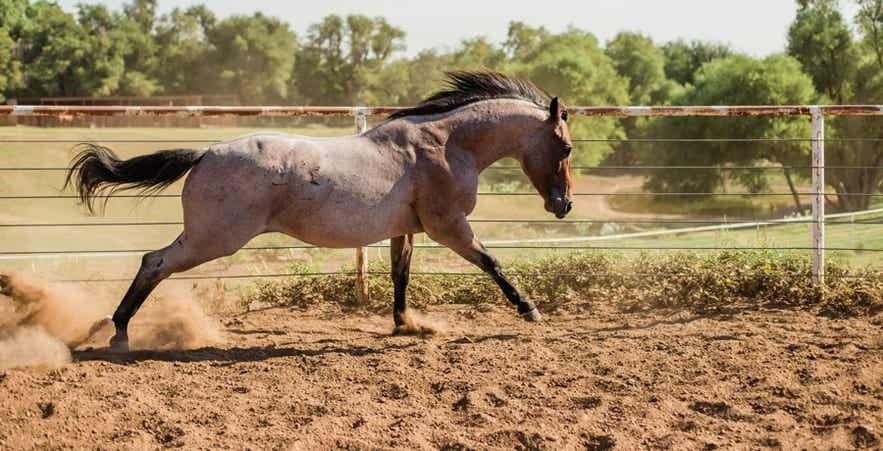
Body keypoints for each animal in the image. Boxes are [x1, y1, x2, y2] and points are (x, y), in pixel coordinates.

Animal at [66, 71, 574, 352]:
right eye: (566, 147)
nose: (563, 205)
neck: (446, 145)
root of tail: (206, 153)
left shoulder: (404, 230)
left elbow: (401, 275)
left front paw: (405, 324)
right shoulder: (449, 227)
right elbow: (491, 261)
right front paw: (529, 310)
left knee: (154, 262)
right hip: (213, 238)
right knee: (154, 262)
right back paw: (119, 332)